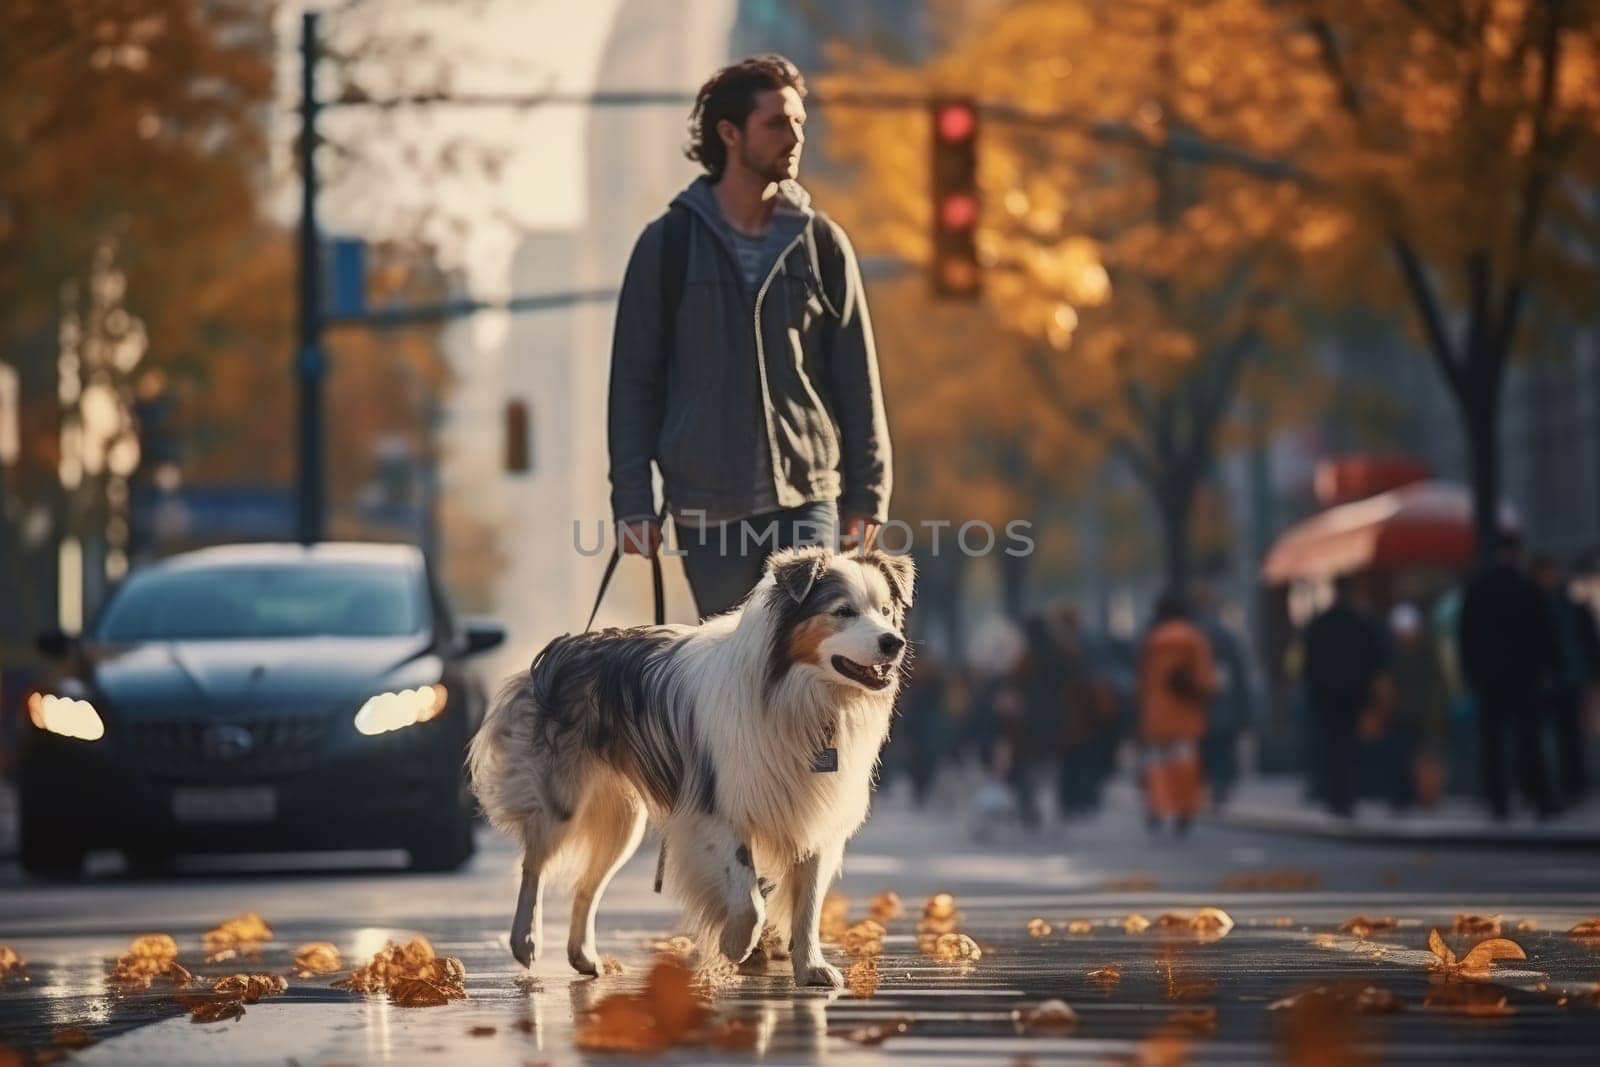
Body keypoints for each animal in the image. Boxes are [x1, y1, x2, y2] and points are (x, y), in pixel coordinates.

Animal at [464, 547, 915, 991]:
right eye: (843, 612)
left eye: (886, 611)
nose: (894, 642)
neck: (800, 692)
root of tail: (561, 649)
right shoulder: (715, 806)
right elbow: (749, 896)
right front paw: (736, 945)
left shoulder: (817, 813)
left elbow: (808, 902)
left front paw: (810, 967)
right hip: (563, 800)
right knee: (534, 864)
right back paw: (526, 939)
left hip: (622, 820)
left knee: (587, 886)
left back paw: (584, 956)